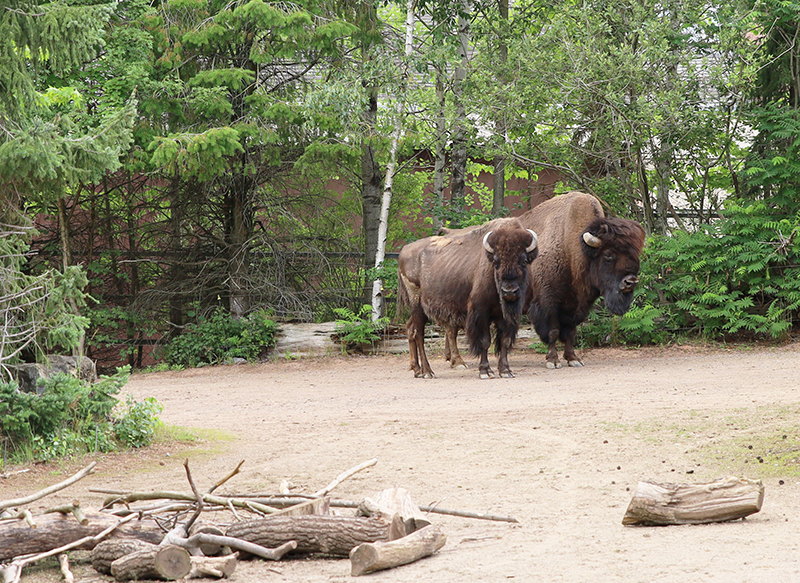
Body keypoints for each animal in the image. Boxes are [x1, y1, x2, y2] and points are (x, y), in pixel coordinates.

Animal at [396, 218, 536, 378]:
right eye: (496, 261)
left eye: (523, 261)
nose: (509, 291)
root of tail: (404, 251)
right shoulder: (481, 312)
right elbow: (485, 341)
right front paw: (485, 371)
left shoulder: (505, 316)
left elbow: (505, 341)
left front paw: (506, 371)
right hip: (417, 303)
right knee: (418, 333)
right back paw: (427, 372)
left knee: (410, 328)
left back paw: (417, 369)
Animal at [520, 193, 648, 370]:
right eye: (608, 255)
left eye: (635, 255)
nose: (631, 281)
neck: (572, 246)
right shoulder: (547, 304)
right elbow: (553, 332)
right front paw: (553, 361)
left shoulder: (575, 307)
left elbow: (570, 333)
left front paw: (573, 359)